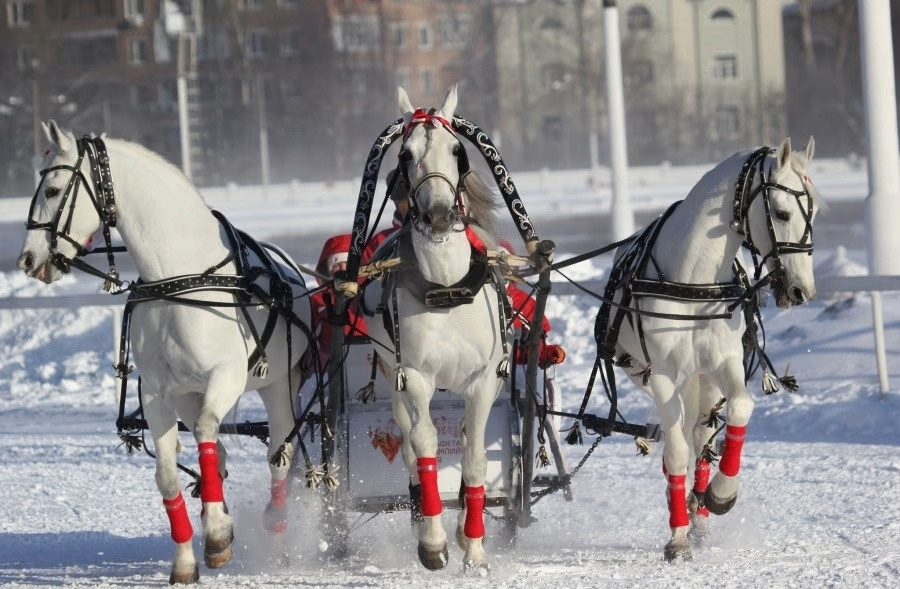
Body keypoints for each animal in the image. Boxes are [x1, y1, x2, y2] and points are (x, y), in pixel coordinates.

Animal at [15, 123, 314, 584]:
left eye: (51, 189)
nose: (28, 259)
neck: (177, 279)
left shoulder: (226, 376)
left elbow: (208, 433)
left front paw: (216, 534)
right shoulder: (157, 393)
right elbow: (168, 477)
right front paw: (190, 557)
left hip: (279, 386)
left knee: (277, 455)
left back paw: (275, 531)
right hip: (189, 394)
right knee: (221, 455)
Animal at [362, 86, 510, 568]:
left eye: (457, 151)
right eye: (406, 155)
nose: (441, 216)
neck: (446, 288)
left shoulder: (484, 381)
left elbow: (476, 457)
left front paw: (475, 548)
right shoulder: (414, 377)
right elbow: (425, 445)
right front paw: (433, 543)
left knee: (463, 439)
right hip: (392, 381)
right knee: (409, 445)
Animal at [596, 137, 820, 560]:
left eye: (813, 211)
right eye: (782, 213)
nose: (803, 291)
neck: (693, 281)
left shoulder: (723, 362)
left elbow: (740, 407)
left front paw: (720, 494)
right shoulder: (661, 374)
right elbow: (675, 450)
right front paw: (677, 536)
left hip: (702, 379)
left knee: (699, 433)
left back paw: (698, 506)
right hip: (652, 377)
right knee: (681, 437)